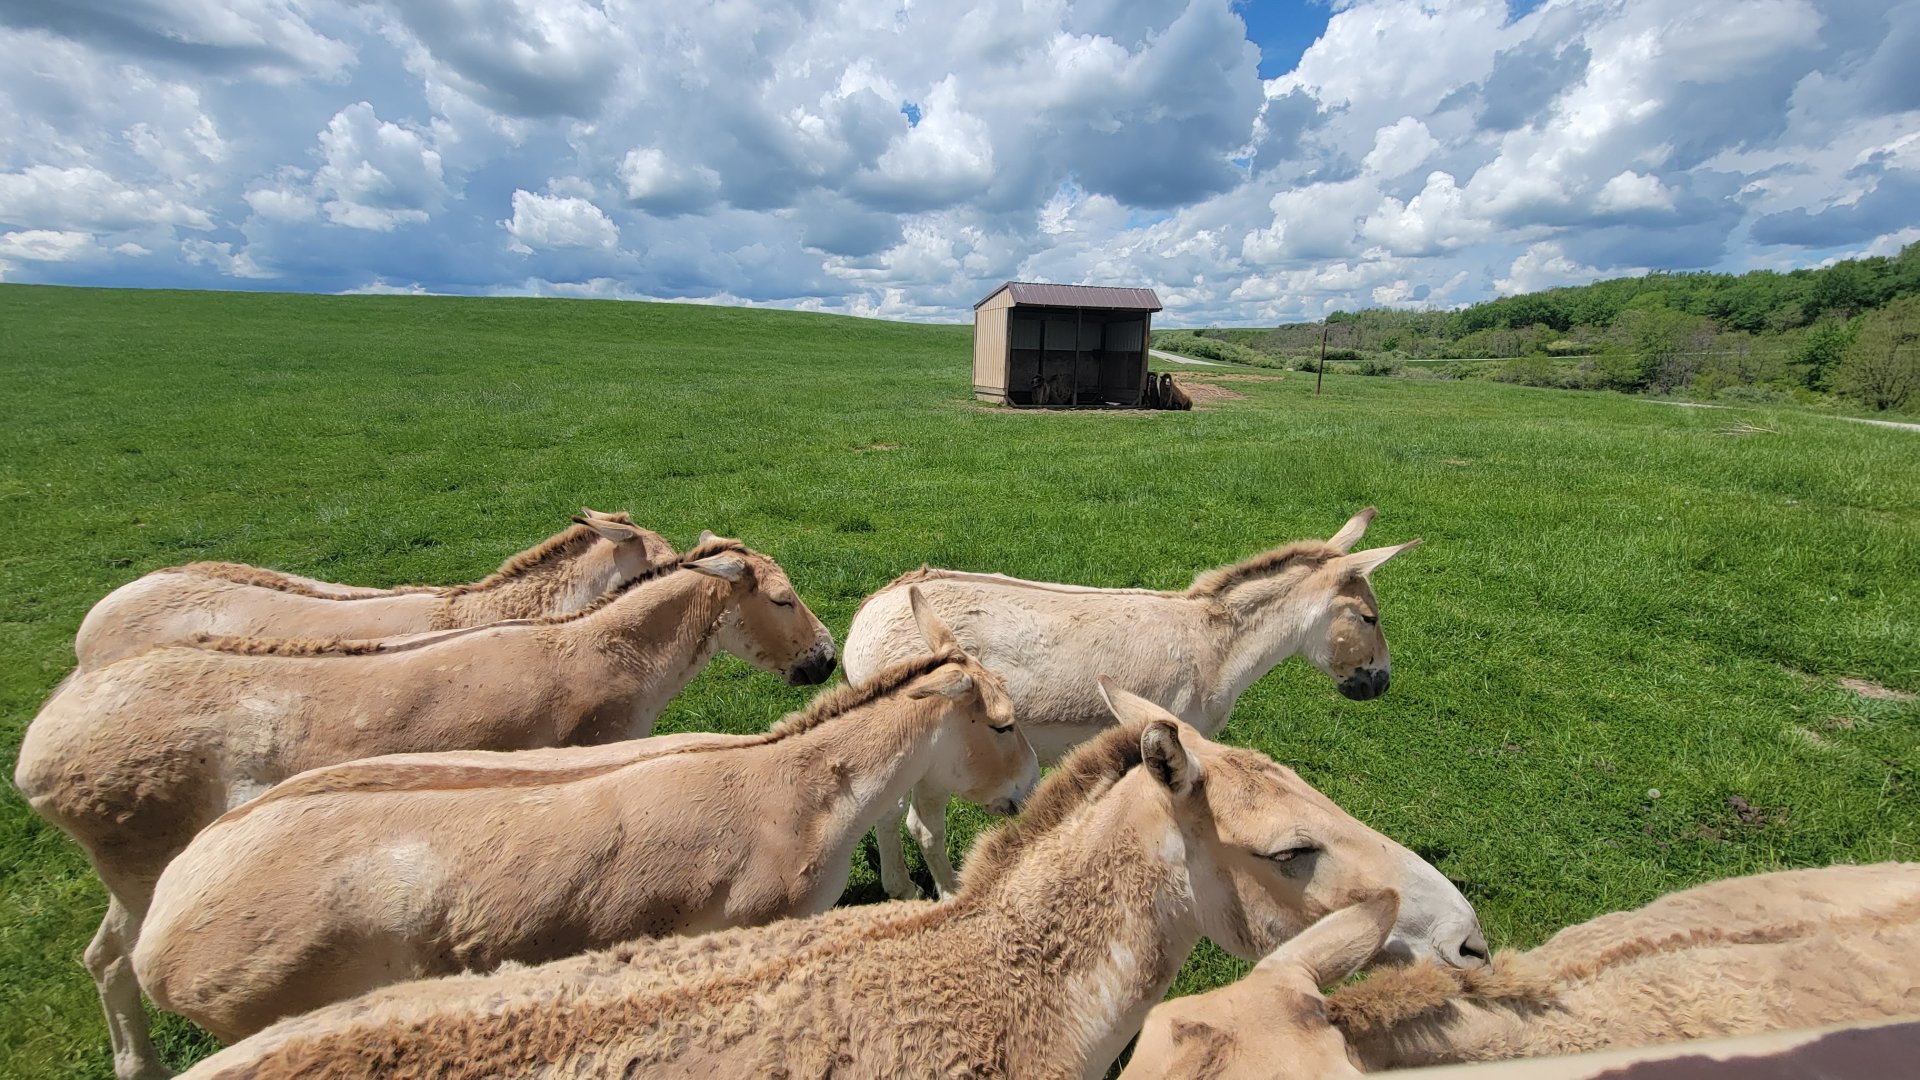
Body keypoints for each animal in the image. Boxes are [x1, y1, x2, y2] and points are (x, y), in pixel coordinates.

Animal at [15, 536, 834, 1080]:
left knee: (104, 958)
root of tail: (46, 736)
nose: (824, 661)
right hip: (140, 861)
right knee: (111, 959)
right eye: (783, 598)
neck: (589, 646)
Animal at [843, 506, 1417, 899]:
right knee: (921, 826)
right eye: (1369, 618)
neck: (1215, 646)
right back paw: (945, 894)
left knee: (889, 814)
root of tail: (870, 610)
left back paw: (902, 888)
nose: (1381, 683)